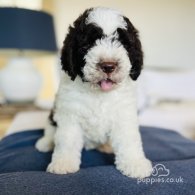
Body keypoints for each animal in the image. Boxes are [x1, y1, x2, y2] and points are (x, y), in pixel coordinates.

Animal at [36, 7, 152, 178]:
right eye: (88, 44)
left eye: (123, 43)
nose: (108, 66)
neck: (98, 93)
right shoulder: (70, 113)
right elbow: (66, 140)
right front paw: (63, 163)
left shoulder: (124, 114)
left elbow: (129, 139)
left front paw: (135, 163)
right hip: (53, 114)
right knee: (51, 130)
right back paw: (45, 143)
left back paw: (107, 146)